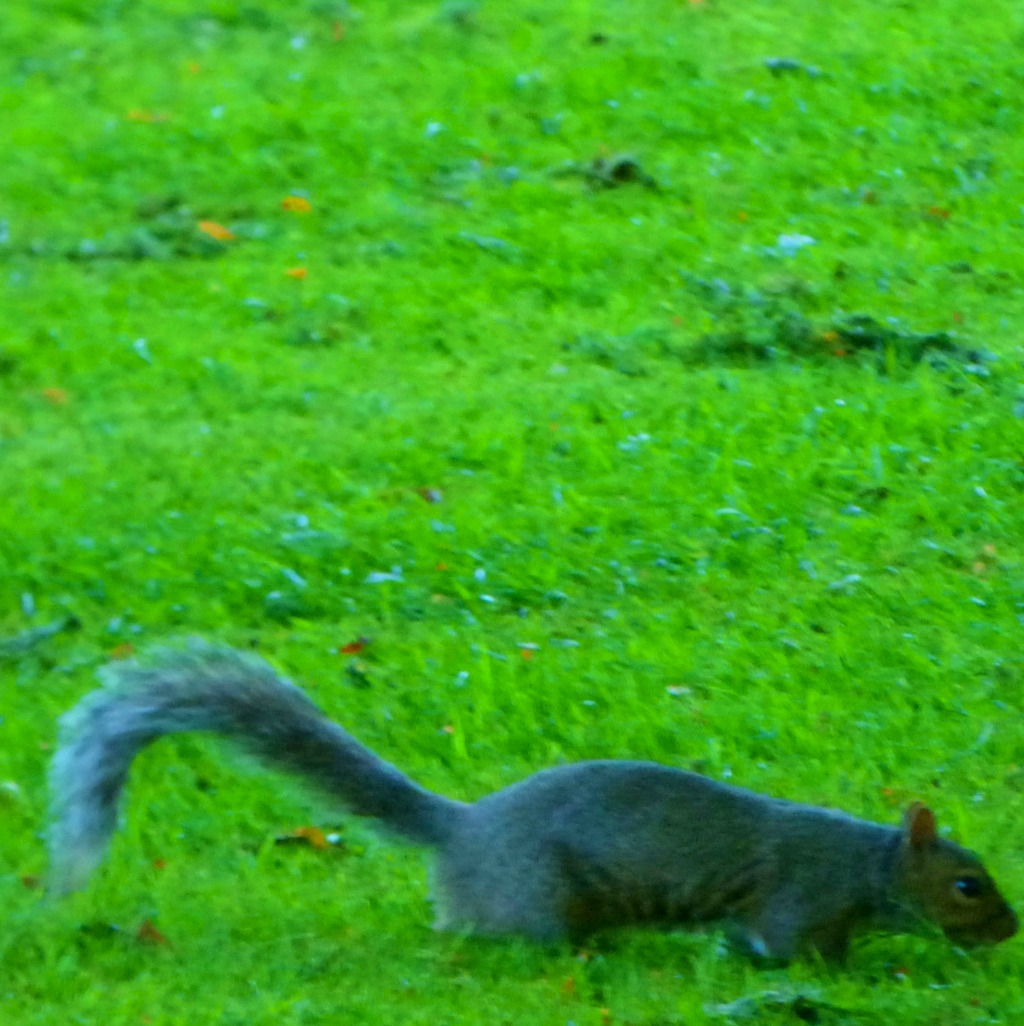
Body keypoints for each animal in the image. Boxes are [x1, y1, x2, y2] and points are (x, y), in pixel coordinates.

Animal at [49, 642, 1018, 961]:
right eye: (968, 884)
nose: (1010, 931)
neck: (867, 862)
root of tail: (465, 829)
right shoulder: (796, 901)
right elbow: (783, 949)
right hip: (534, 901)